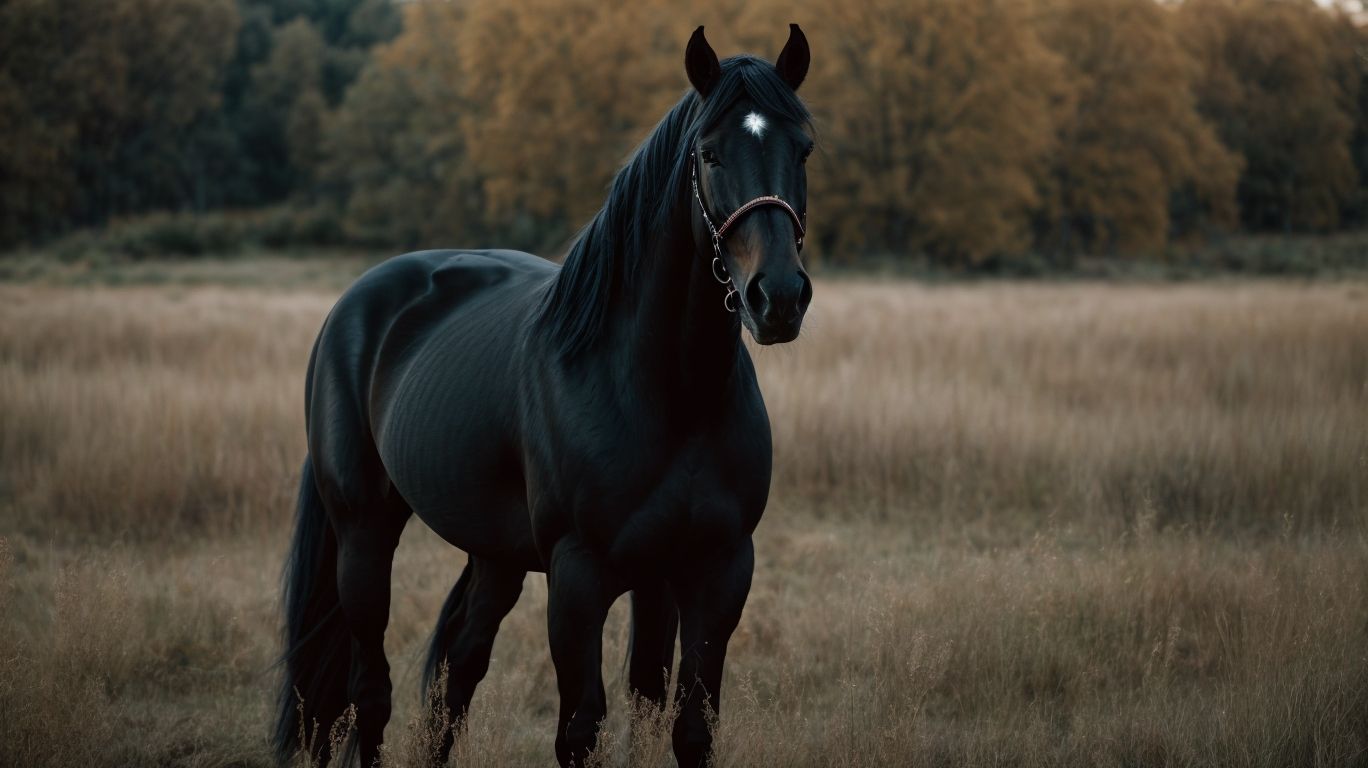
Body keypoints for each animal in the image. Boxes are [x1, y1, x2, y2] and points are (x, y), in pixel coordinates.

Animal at [273, 24, 814, 768]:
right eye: (709, 153)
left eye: (804, 147)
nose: (779, 298)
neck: (667, 394)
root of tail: (352, 307)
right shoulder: (579, 579)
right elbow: (580, 729)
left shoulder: (711, 569)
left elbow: (680, 722)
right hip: (363, 535)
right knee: (370, 692)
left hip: (496, 558)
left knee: (455, 679)